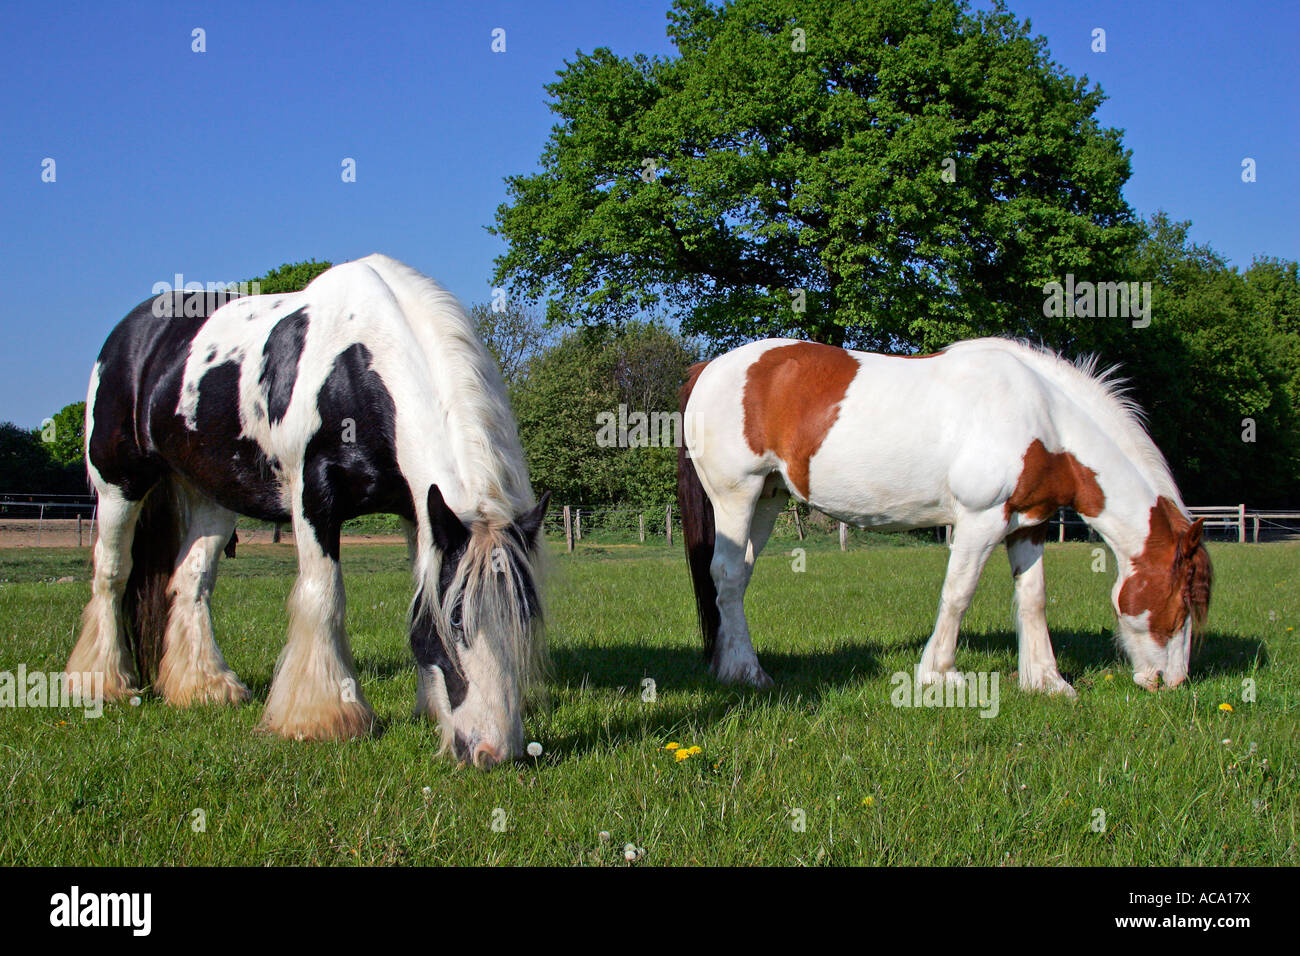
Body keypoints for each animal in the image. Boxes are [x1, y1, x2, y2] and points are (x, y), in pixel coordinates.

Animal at [68, 254, 546, 770]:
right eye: (457, 620)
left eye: (524, 615)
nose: (493, 751)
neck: (356, 366)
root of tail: (131, 333)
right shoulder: (314, 498)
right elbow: (324, 596)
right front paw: (321, 717)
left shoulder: (418, 511)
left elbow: (419, 600)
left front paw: (428, 707)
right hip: (119, 484)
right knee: (111, 573)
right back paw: (101, 683)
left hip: (211, 497)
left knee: (191, 581)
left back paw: (205, 687)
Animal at [676, 335, 1211, 697]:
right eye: (1182, 603)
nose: (1171, 682)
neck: (1042, 418)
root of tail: (709, 366)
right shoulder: (980, 520)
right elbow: (959, 593)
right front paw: (939, 673)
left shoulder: (1031, 524)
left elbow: (1033, 599)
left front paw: (1046, 681)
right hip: (737, 495)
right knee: (726, 576)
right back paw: (748, 673)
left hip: (767, 499)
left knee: (737, 579)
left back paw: (728, 665)